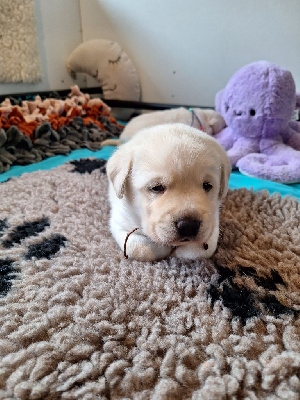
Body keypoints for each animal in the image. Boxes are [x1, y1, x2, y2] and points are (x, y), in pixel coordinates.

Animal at [106, 125, 231, 262]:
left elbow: (200, 251)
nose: (188, 226)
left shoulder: (213, 221)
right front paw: (161, 249)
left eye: (207, 185)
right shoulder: (119, 220)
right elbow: (138, 248)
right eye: (156, 187)